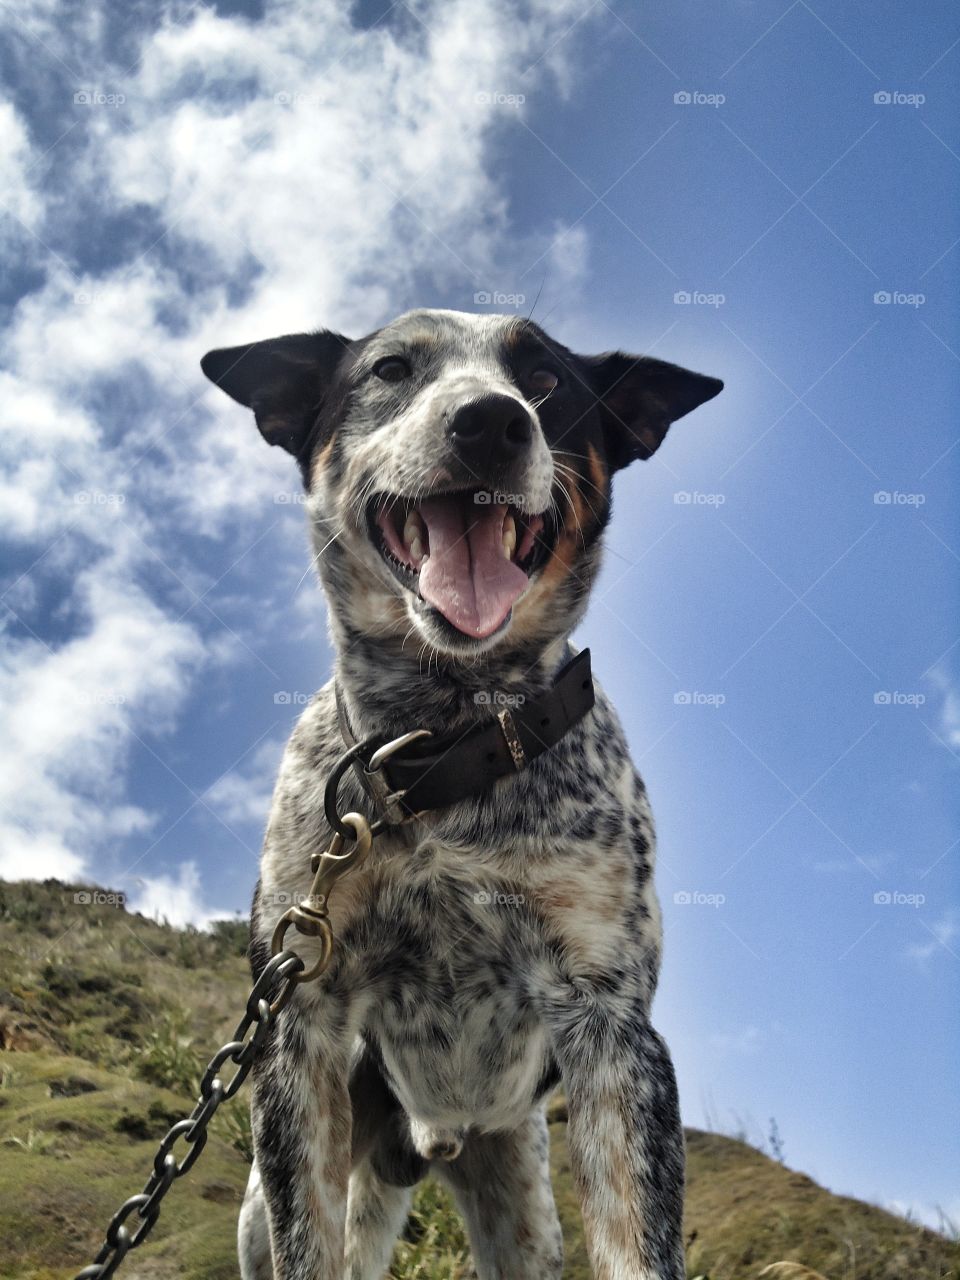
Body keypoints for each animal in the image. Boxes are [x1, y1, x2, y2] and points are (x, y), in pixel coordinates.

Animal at [204, 312, 727, 1280]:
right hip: (285, 1194)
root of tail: (431, 1139)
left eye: (547, 381)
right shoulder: (302, 1030)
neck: (441, 747)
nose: (490, 422)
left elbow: (638, 1241)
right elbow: (307, 1247)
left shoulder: (611, 1028)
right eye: (390, 368)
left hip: (520, 1198)